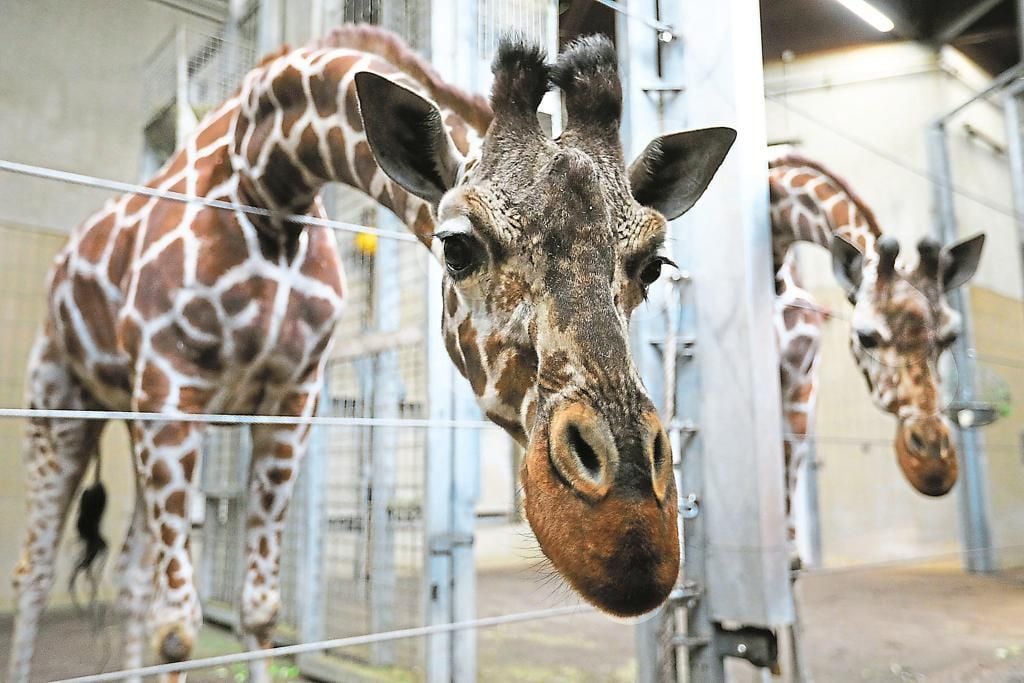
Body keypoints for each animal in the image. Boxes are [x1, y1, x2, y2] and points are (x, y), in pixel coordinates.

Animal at [8, 25, 737, 679]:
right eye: (457, 245)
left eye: (653, 264)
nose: (629, 534)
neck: (270, 186)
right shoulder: (170, 386)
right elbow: (179, 630)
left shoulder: (288, 404)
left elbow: (258, 608)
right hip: (64, 407)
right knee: (36, 572)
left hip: (139, 424)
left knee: (132, 577)